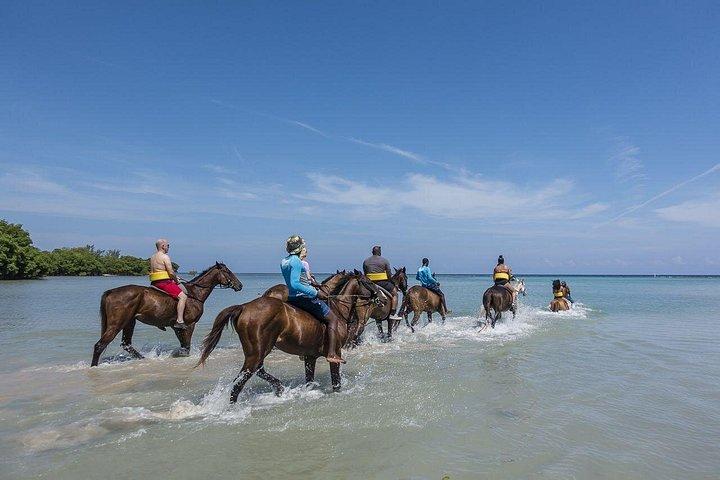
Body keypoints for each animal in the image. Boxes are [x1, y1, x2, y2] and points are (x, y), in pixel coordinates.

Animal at [91, 262, 242, 366]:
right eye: (227, 272)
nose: (240, 285)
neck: (194, 294)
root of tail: (111, 292)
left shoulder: (176, 328)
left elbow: (183, 346)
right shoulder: (189, 325)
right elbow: (186, 347)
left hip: (129, 322)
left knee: (126, 344)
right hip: (117, 324)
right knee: (100, 345)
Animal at [197, 272, 384, 402]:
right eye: (368, 282)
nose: (381, 298)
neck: (338, 310)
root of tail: (243, 307)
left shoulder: (310, 357)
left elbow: (309, 380)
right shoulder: (335, 353)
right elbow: (336, 382)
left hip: (257, 351)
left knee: (257, 370)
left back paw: (279, 388)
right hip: (257, 352)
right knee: (241, 380)